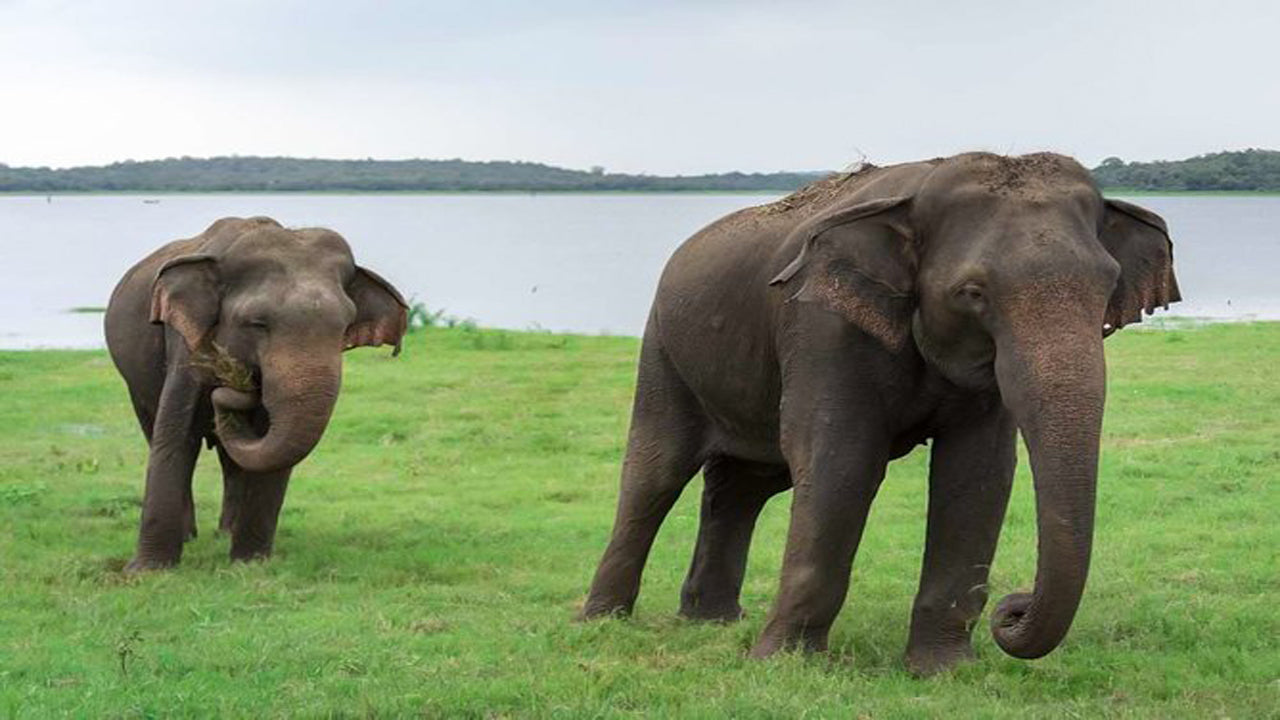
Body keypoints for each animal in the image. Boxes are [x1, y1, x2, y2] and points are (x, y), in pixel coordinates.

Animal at [105, 212, 407, 566]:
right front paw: (147, 569)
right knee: (156, 430)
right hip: (135, 382)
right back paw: (191, 536)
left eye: (345, 327)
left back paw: (225, 534)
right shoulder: (183, 341)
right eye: (258, 323)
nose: (234, 382)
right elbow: (176, 435)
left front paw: (249, 564)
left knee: (232, 458)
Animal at [581, 151, 1177, 671]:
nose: (1013, 609)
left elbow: (977, 475)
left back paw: (711, 622)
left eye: (1107, 286)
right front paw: (784, 666)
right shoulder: (823, 328)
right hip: (662, 352)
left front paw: (941, 670)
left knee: (743, 486)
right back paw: (602, 622)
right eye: (972, 292)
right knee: (655, 475)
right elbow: (841, 465)